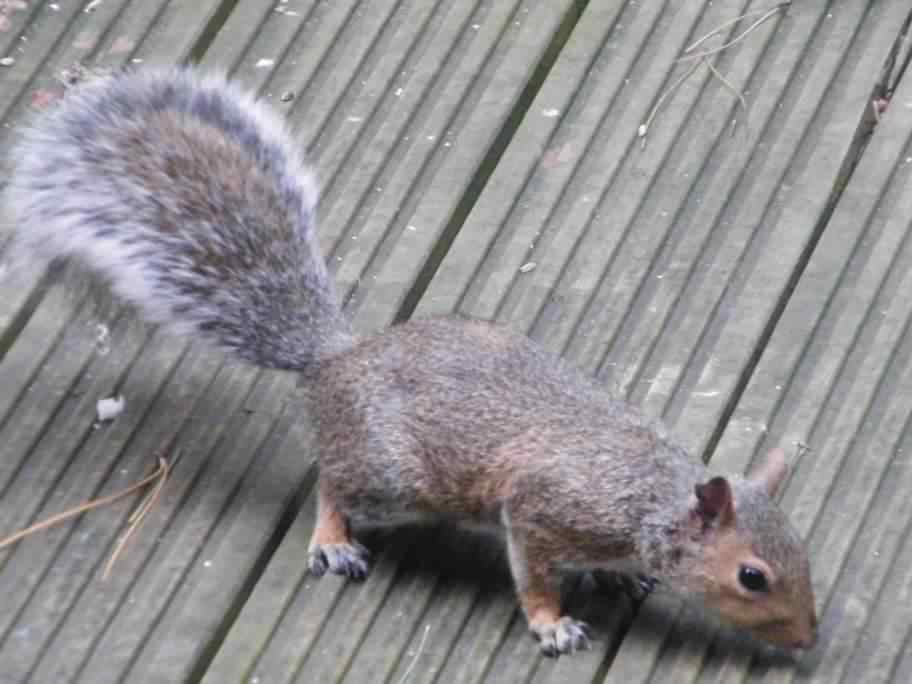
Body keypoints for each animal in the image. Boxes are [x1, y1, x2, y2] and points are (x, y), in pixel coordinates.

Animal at [3, 68, 816, 656]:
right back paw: (334, 542)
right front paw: (552, 623)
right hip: (394, 475)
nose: (810, 641)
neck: (648, 495)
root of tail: (335, 362)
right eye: (752, 577)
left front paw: (620, 582)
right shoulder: (540, 510)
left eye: (800, 549)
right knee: (331, 484)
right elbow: (533, 573)